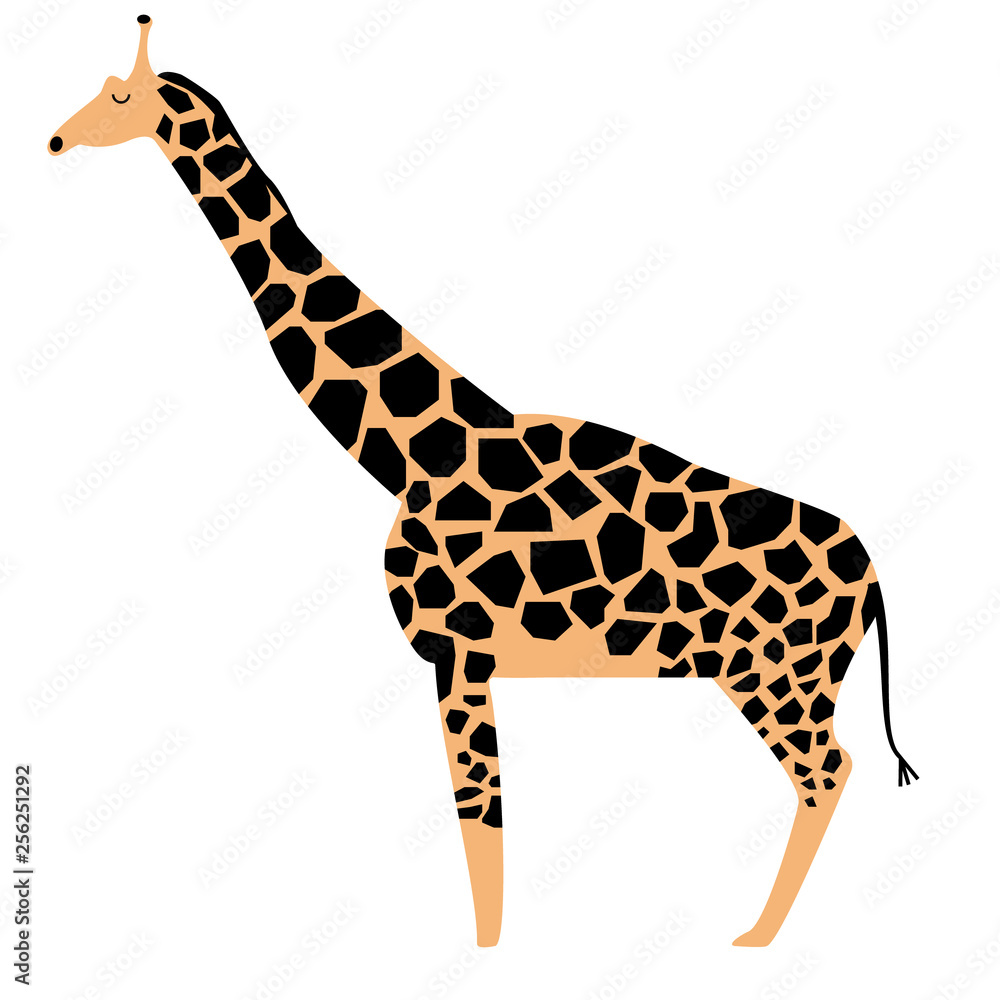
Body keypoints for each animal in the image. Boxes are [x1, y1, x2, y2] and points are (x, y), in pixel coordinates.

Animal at [48, 16, 918, 948]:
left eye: (119, 96)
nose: (56, 139)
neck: (410, 454)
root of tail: (873, 577)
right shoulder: (467, 659)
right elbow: (486, 828)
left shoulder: (456, 651)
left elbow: (481, 826)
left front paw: (485, 953)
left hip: (777, 679)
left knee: (828, 772)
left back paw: (756, 936)